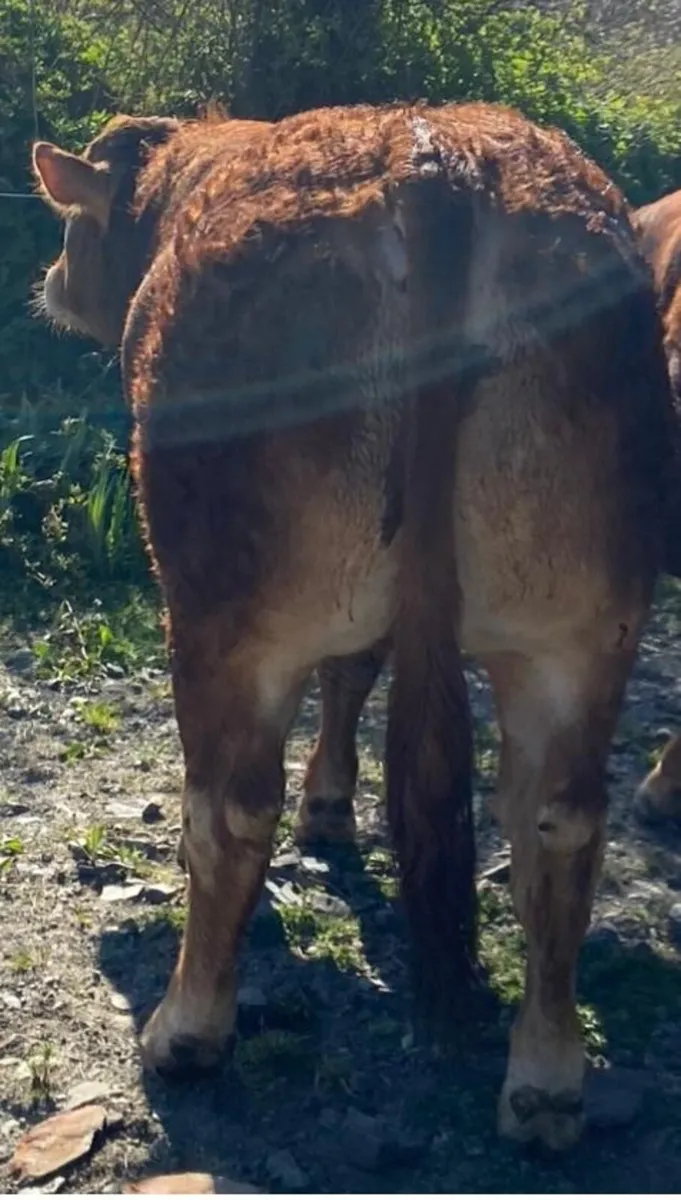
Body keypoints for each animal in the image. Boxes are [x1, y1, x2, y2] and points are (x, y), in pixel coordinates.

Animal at [32, 101, 676, 1152]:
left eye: (73, 226)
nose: (51, 276)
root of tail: (434, 161)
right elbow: (355, 672)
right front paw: (330, 803)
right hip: (583, 617)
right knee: (560, 822)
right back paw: (544, 1082)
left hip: (223, 604)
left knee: (228, 809)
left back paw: (186, 1030)